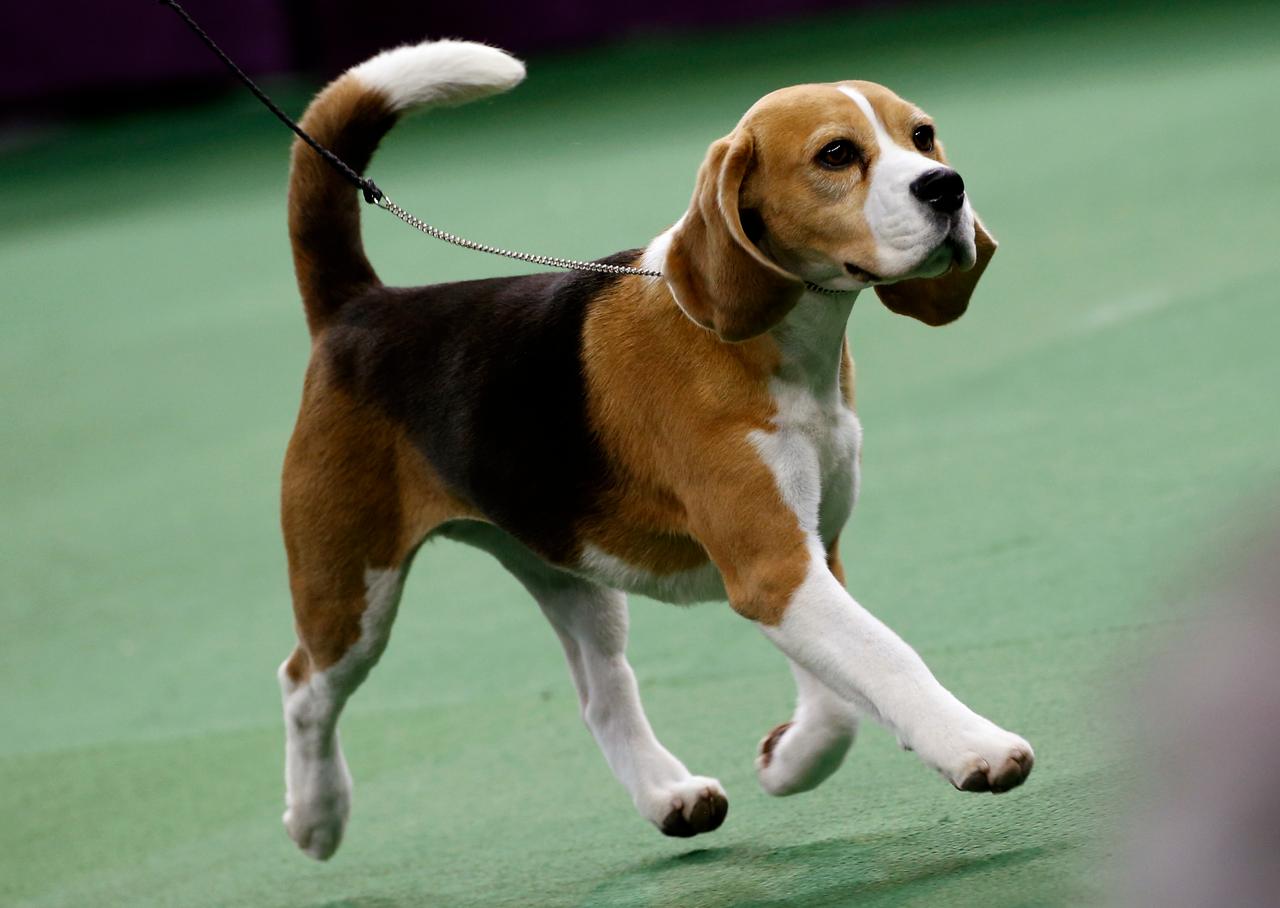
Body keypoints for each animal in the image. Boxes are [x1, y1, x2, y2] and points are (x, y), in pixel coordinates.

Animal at [277, 37, 1029, 855]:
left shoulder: (804, 558)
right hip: (352, 586)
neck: (778, 349)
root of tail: (361, 307)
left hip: (567, 568)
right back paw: (316, 815)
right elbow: (887, 658)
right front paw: (976, 747)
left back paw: (668, 794)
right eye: (836, 154)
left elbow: (839, 702)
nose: (947, 187)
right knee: (304, 688)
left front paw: (789, 760)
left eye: (921, 136)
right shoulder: (774, 566)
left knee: (603, 694)